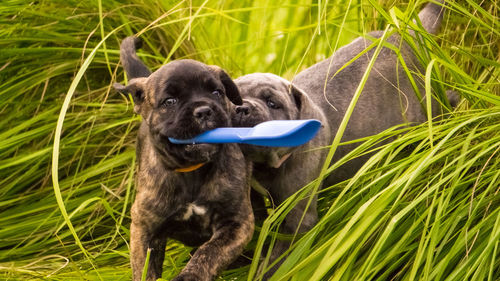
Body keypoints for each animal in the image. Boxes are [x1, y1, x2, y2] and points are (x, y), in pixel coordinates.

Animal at [114, 36, 254, 280]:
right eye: (170, 101)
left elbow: (209, 251)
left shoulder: (237, 223)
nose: (204, 111)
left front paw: (190, 275)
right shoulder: (144, 228)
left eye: (216, 93)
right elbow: (145, 269)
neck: (192, 172)